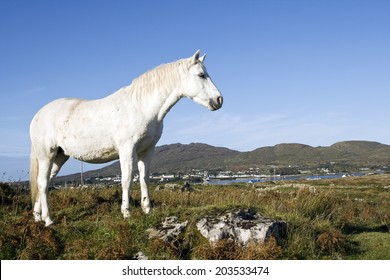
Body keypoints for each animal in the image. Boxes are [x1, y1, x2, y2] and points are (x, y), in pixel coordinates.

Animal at [29, 50, 222, 225]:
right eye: (201, 75)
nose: (219, 100)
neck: (141, 106)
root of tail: (37, 115)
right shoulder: (127, 149)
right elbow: (127, 179)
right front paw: (126, 213)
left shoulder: (147, 151)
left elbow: (144, 179)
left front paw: (147, 209)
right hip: (47, 155)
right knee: (43, 183)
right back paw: (48, 220)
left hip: (59, 156)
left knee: (44, 183)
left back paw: (38, 216)